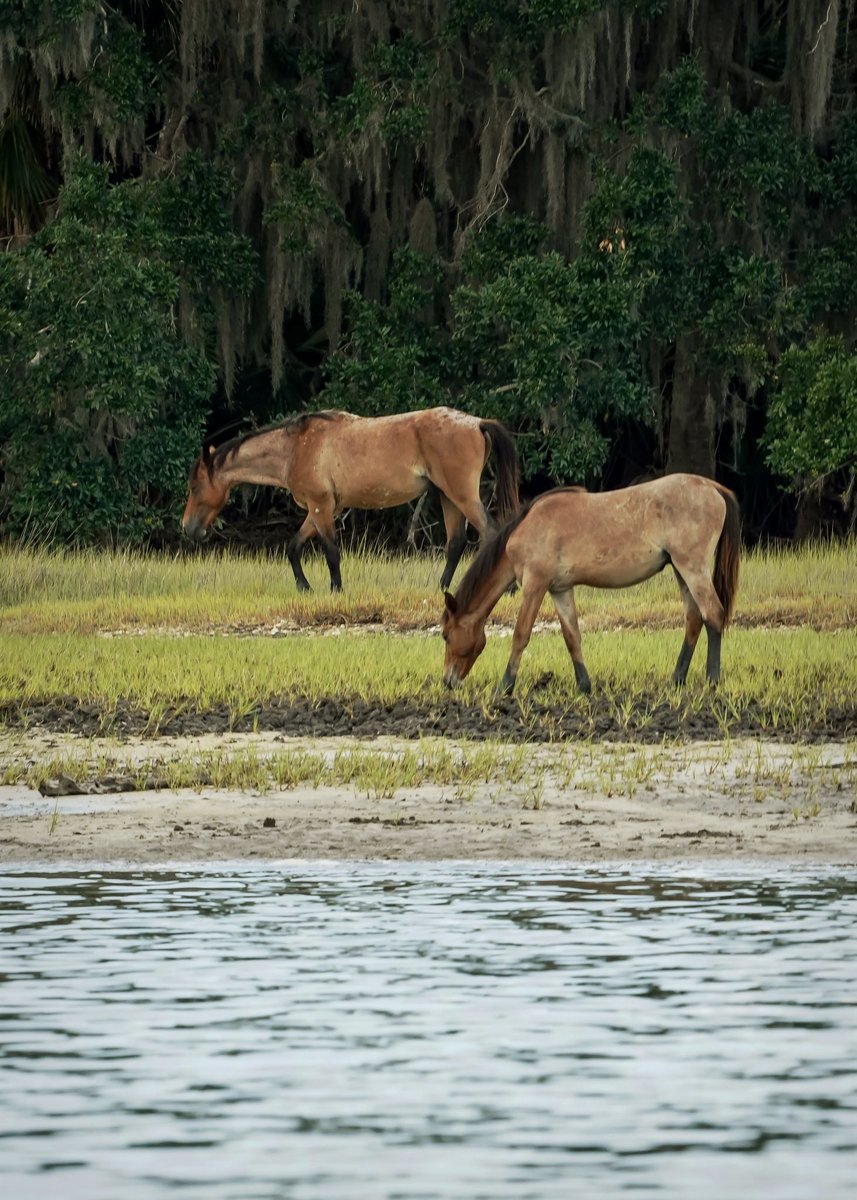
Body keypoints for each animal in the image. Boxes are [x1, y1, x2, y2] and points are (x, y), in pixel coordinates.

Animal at [182, 407, 519, 592]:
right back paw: (442, 587)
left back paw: (510, 588)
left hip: (462, 495)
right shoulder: (321, 508)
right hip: (448, 497)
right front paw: (304, 587)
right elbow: (293, 546)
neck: (294, 449)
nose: (187, 528)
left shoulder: (321, 507)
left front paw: (335, 590)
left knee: (489, 532)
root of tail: (477, 423)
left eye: (195, 486)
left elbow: (331, 552)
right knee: (456, 543)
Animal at [440, 474, 741, 694]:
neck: (528, 528)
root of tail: (712, 487)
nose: (447, 682)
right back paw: (677, 679)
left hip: (692, 568)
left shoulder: (535, 585)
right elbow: (572, 636)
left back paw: (712, 681)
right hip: (681, 571)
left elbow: (521, 635)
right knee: (694, 619)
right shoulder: (560, 589)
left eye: (445, 635)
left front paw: (504, 687)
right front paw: (584, 686)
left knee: (713, 615)